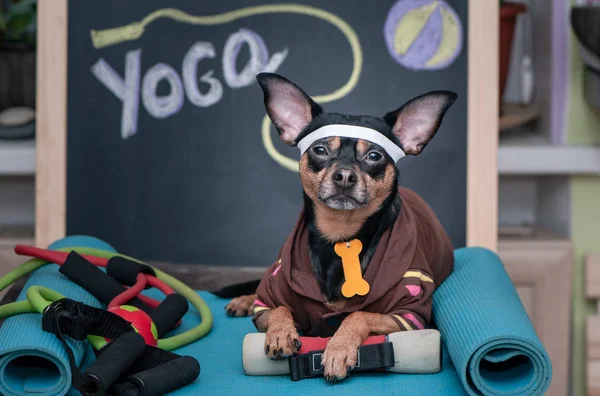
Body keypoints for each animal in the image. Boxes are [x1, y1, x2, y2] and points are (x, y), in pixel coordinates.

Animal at [220, 72, 454, 382]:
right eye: (319, 150)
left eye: (374, 156)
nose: (344, 175)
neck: (340, 237)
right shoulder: (266, 304)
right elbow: (280, 306)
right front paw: (280, 333)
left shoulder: (409, 314)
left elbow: (358, 315)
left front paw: (338, 349)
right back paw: (243, 300)